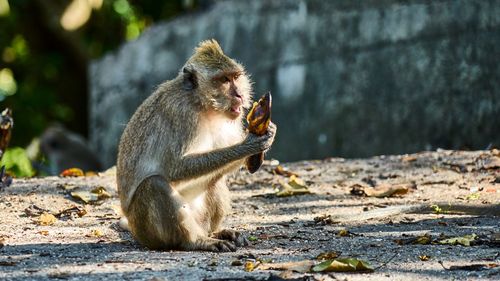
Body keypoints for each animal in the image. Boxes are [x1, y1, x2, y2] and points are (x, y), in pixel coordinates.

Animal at [117, 38, 278, 249]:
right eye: (224, 80)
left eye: (235, 77)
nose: (239, 95)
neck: (202, 105)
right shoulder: (181, 114)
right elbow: (175, 168)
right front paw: (248, 145)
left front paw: (269, 132)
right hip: (146, 230)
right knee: (154, 184)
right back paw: (196, 241)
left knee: (215, 177)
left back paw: (216, 232)